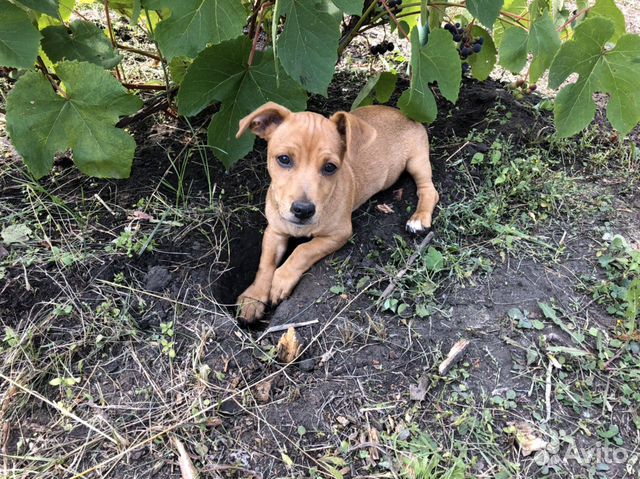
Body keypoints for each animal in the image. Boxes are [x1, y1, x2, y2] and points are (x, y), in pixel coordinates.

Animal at [235, 102, 440, 324]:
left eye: (330, 167)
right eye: (284, 159)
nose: (303, 210)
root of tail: (405, 114)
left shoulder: (338, 234)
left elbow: (303, 251)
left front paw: (280, 281)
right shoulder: (275, 230)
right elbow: (265, 263)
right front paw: (253, 298)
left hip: (417, 160)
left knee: (428, 190)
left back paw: (419, 218)